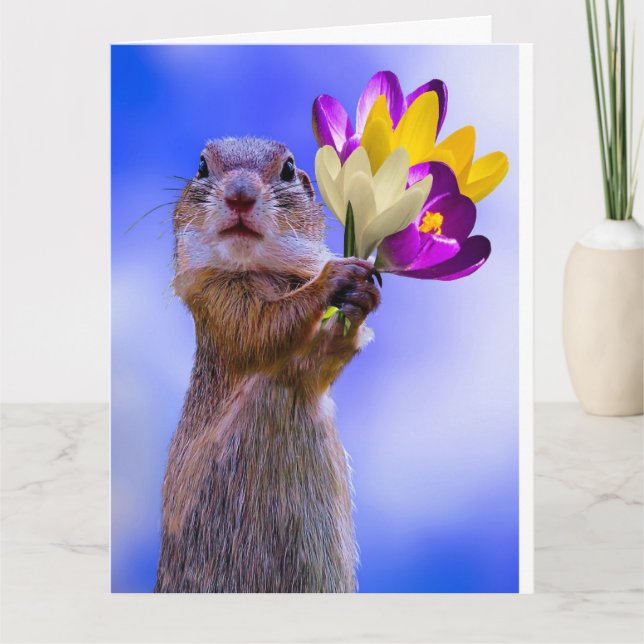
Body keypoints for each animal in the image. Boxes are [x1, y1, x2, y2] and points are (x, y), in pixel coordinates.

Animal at [154, 137, 381, 593]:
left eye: (289, 168)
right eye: (201, 166)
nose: (240, 195)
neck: (258, 270)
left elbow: (321, 359)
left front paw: (359, 302)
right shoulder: (218, 299)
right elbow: (262, 326)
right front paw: (333, 277)